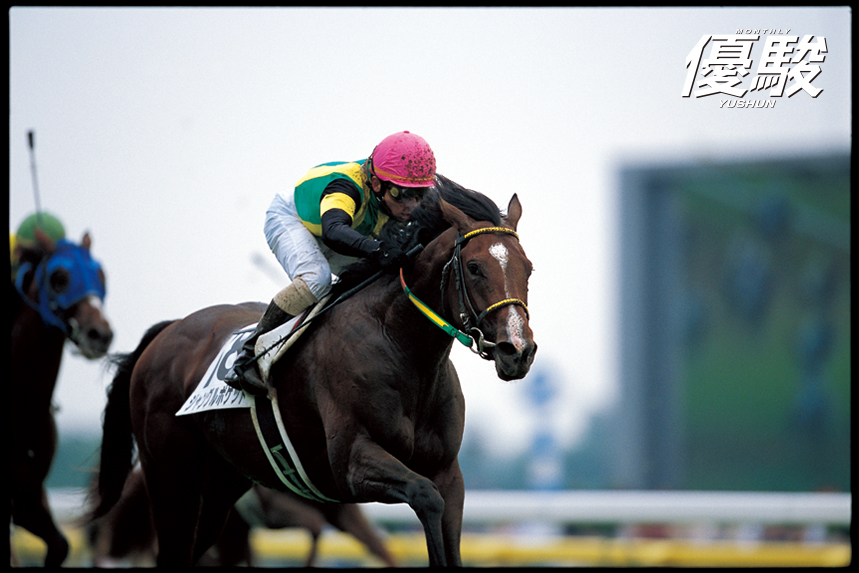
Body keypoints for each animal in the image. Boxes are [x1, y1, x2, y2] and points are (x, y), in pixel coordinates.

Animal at [10, 228, 113, 567]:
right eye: (58, 277)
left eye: (101, 275)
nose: (99, 334)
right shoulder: (21, 484)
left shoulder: (30, 490)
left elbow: (59, 545)